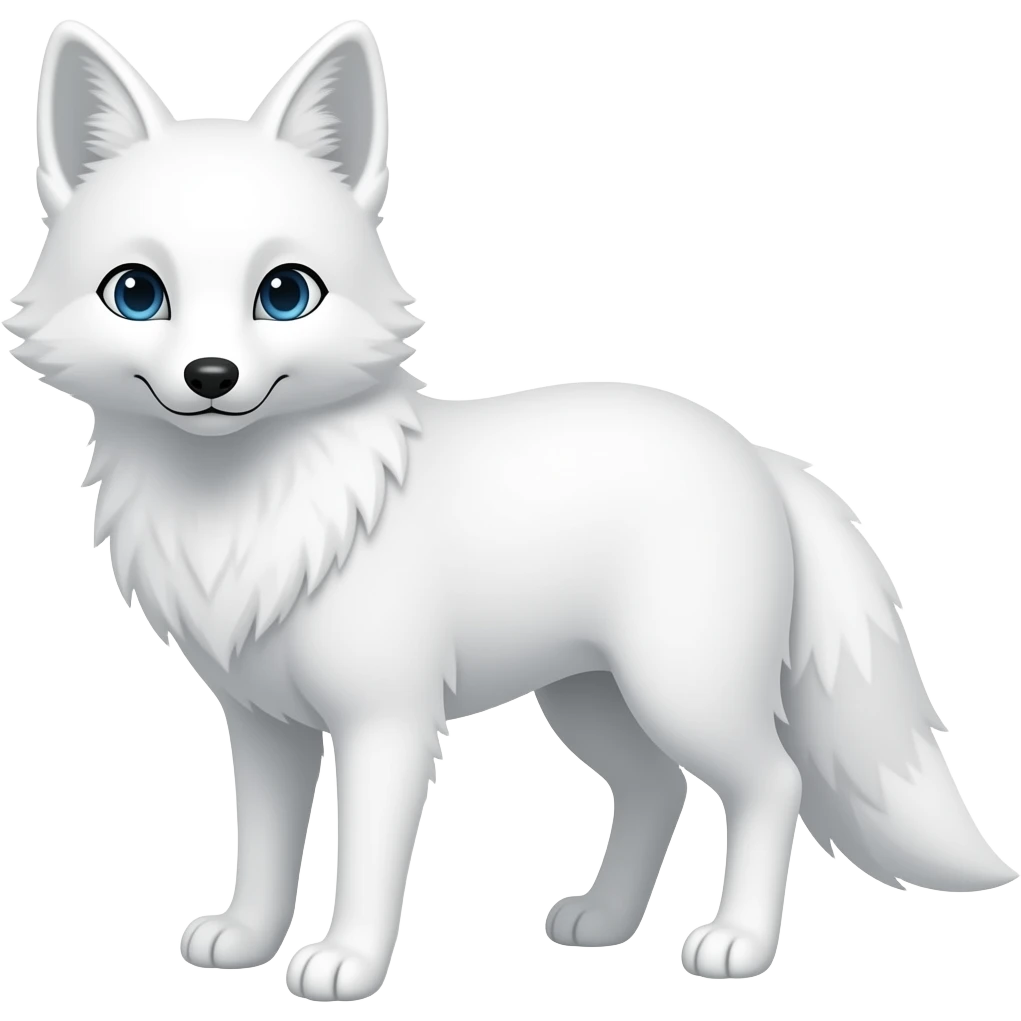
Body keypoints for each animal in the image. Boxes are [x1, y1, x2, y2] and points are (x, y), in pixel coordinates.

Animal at [5, 17, 1015, 1003]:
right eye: (137, 293)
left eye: (284, 294)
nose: (210, 377)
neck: (251, 508)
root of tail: (758, 457)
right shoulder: (263, 725)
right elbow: (262, 847)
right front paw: (245, 940)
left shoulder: (387, 720)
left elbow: (364, 858)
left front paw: (346, 964)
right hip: (591, 699)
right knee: (657, 789)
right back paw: (603, 923)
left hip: (680, 689)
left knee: (772, 781)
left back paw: (736, 943)